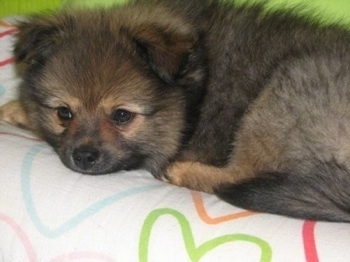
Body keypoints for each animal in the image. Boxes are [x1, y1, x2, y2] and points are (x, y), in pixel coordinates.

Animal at [2, 0, 350, 223]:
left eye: (122, 116)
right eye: (64, 114)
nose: (83, 156)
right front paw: (17, 109)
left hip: (284, 91)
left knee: (240, 173)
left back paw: (182, 170)